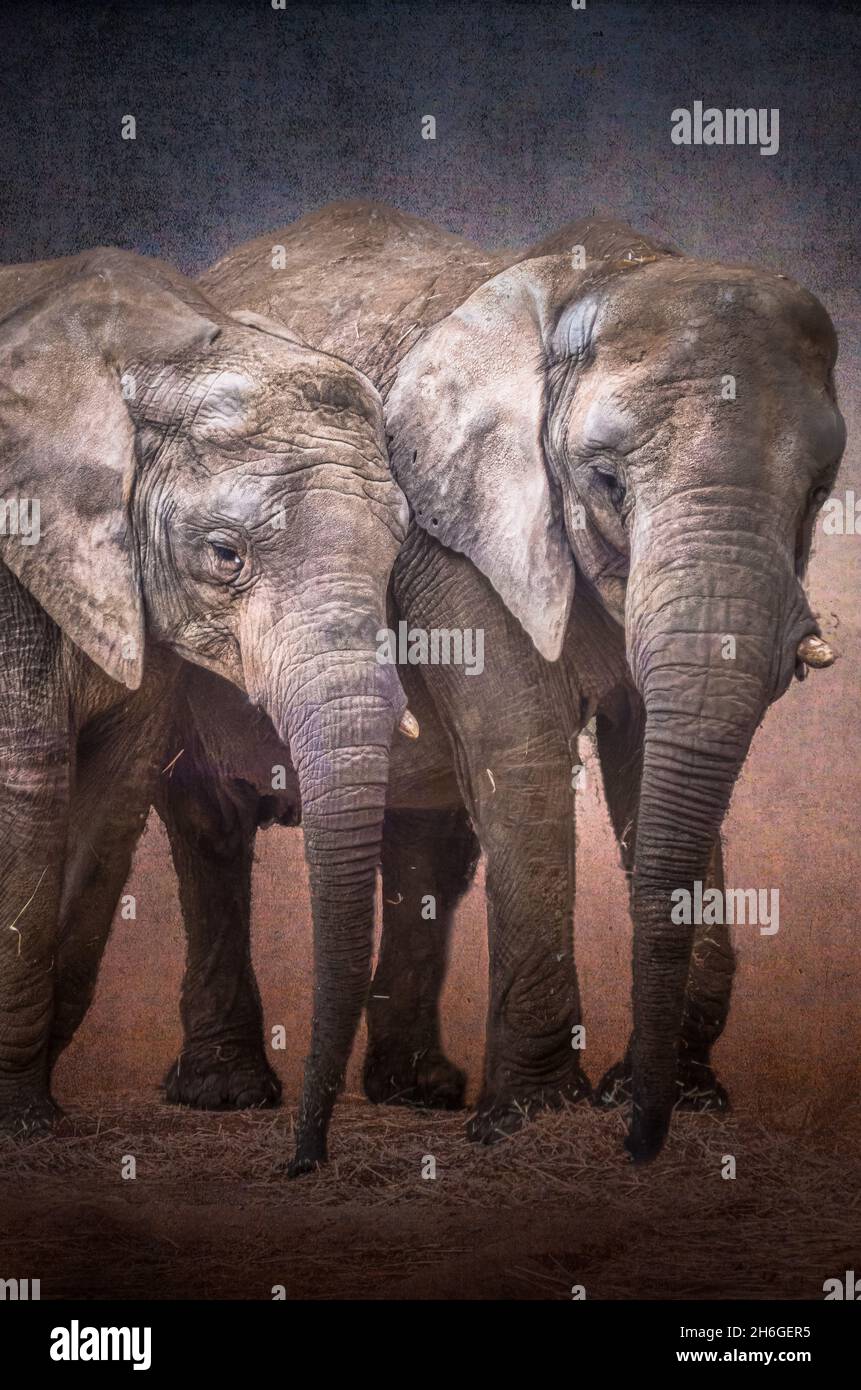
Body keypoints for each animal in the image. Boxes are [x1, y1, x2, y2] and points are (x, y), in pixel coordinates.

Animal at [0, 244, 411, 1134]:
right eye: (225, 555)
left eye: (400, 549)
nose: (302, 1155)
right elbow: (28, 783)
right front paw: (20, 1121)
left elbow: (111, 797)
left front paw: (27, 1109)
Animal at [123, 201, 851, 1167]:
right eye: (605, 480)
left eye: (817, 491)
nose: (639, 1143)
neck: (605, 275)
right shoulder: (456, 536)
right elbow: (524, 750)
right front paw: (533, 1117)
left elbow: (647, 752)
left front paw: (681, 1099)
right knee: (207, 826)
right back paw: (227, 1094)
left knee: (427, 838)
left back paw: (417, 1092)